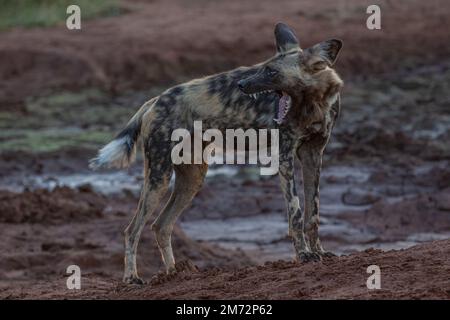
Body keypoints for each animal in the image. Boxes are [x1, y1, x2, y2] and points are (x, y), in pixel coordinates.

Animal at [89, 22, 342, 284]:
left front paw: (320, 252)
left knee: (161, 225)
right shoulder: (285, 157)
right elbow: (296, 213)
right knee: (132, 230)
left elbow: (313, 213)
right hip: (159, 177)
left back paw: (175, 274)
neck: (313, 104)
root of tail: (155, 100)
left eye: (272, 72)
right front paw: (303, 255)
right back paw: (132, 278)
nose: (242, 85)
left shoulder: (313, 155)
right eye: (264, 67)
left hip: (192, 179)